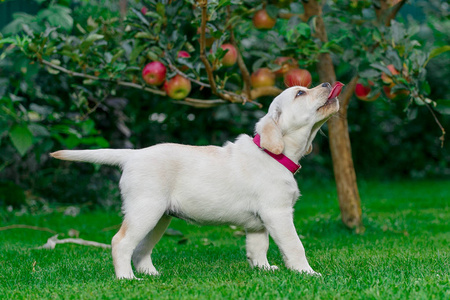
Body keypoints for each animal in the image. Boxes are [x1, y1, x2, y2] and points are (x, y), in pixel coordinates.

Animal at [51, 82, 342, 278]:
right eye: (300, 93)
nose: (328, 83)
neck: (274, 154)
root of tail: (133, 154)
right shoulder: (278, 213)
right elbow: (295, 245)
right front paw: (307, 272)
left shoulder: (258, 223)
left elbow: (258, 247)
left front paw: (264, 269)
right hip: (145, 209)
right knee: (121, 242)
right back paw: (126, 279)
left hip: (159, 217)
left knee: (141, 249)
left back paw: (151, 274)